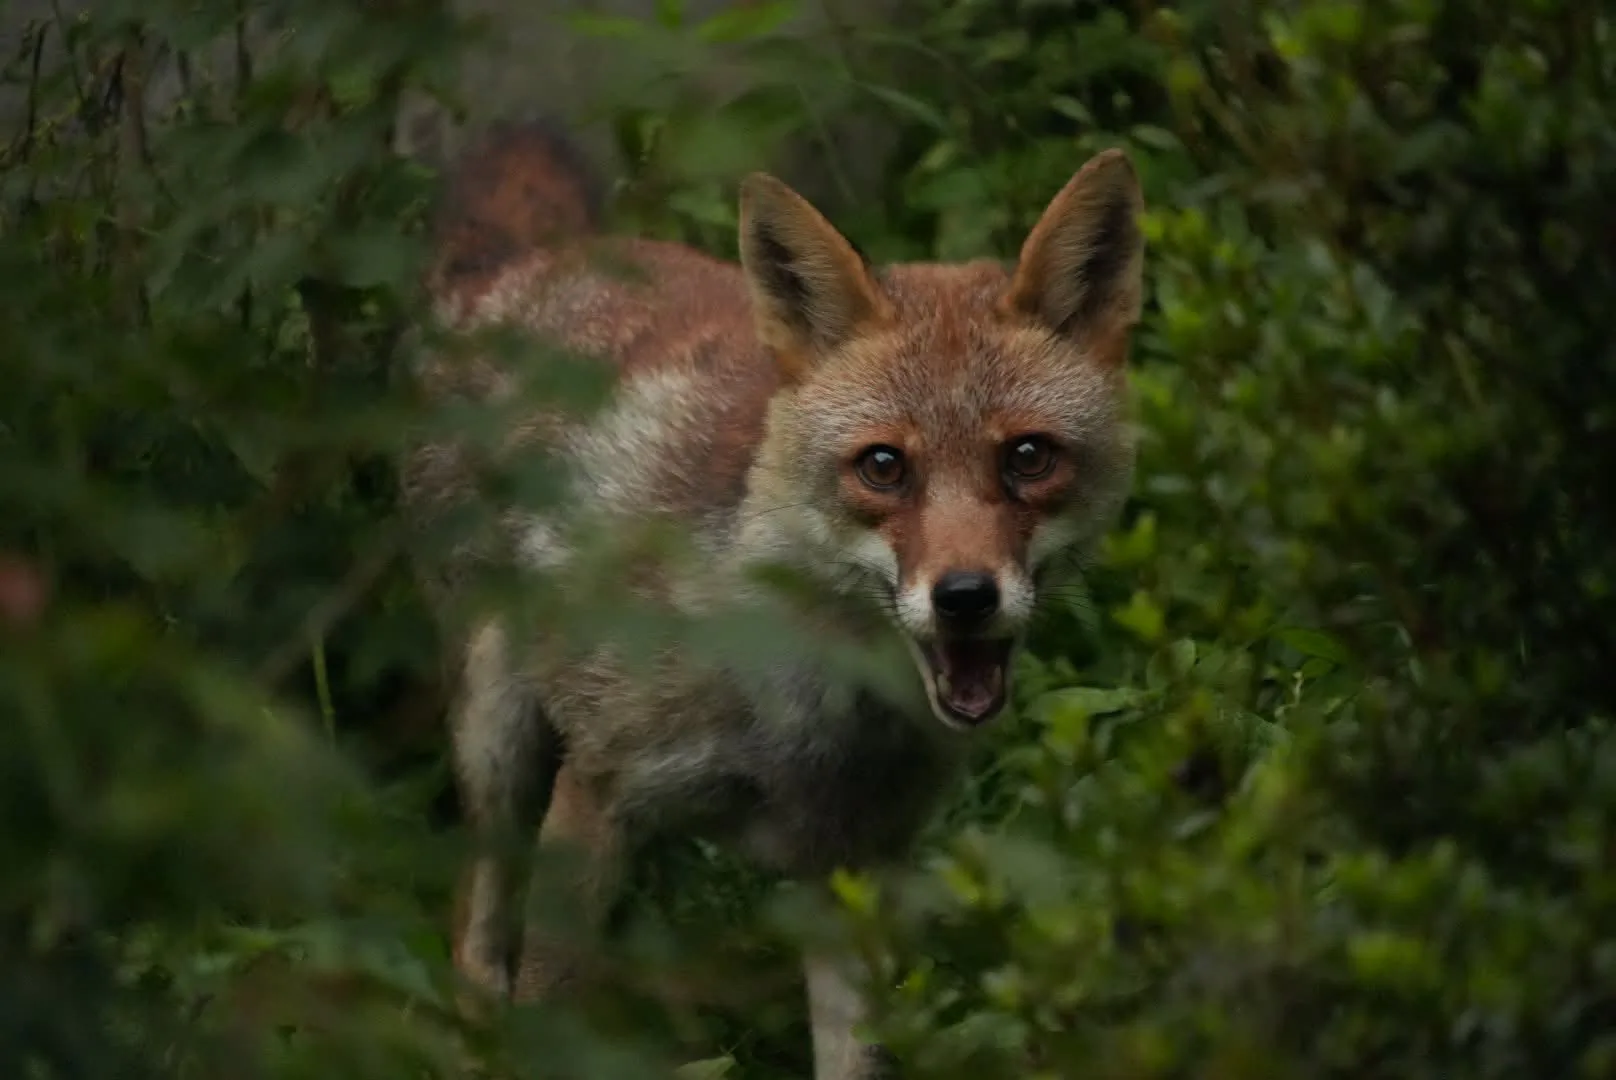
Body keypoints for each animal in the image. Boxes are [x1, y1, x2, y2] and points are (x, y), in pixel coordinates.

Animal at [402, 118, 1146, 1080]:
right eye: (882, 466)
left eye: (1028, 457)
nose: (965, 599)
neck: (806, 714)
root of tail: (531, 265)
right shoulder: (596, 793)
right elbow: (547, 1025)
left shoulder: (854, 867)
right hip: (497, 744)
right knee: (473, 929)